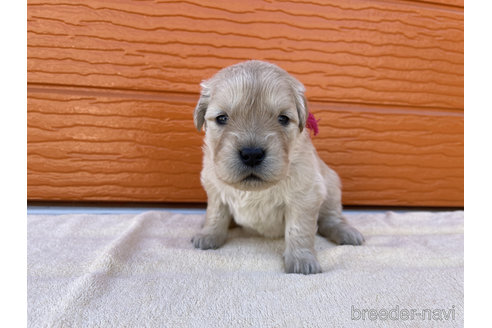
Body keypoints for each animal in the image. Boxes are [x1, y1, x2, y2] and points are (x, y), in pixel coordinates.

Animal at [192, 59, 366, 274]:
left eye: (283, 118)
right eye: (222, 118)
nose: (251, 154)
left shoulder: (305, 196)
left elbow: (299, 229)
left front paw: (301, 260)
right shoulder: (214, 188)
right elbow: (215, 214)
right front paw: (208, 235)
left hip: (332, 186)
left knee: (331, 218)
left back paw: (346, 232)